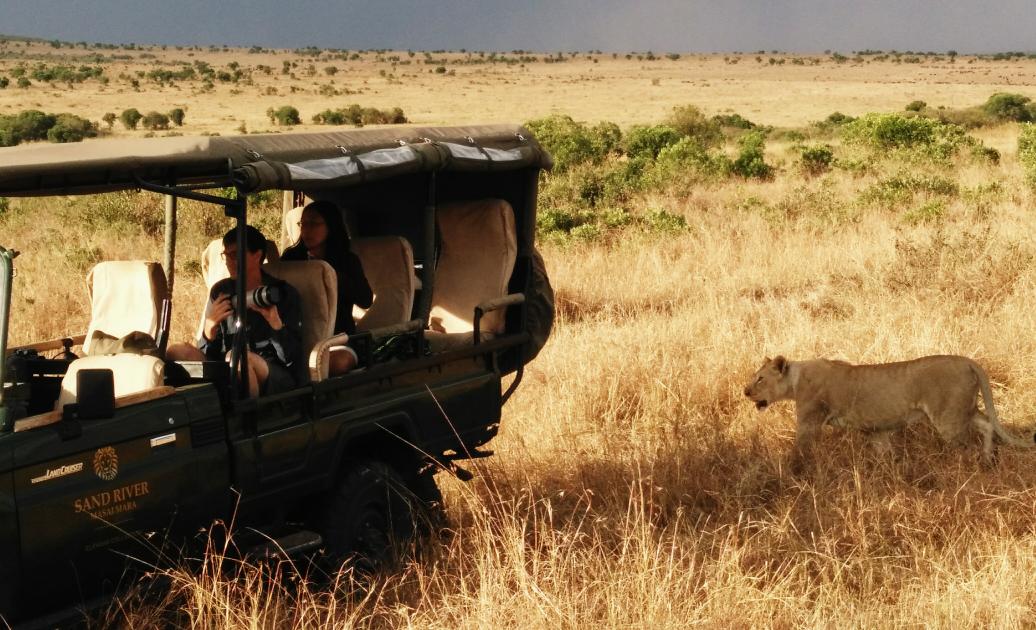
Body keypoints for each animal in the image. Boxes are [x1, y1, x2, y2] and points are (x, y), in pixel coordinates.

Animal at [743, 355, 1035, 464]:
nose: (745, 391)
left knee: (965, 447)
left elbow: (799, 450)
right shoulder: (876, 430)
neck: (794, 380)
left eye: (760, 378)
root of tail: (966, 360)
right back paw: (987, 459)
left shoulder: (809, 421)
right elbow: (883, 452)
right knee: (987, 425)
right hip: (964, 409)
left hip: (948, 419)